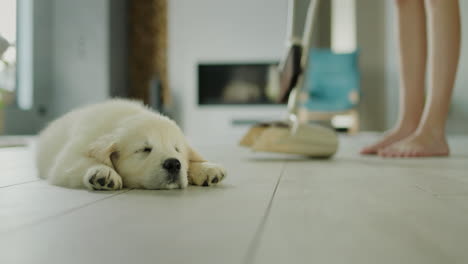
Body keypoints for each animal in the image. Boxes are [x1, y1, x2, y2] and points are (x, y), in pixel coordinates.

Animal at [36, 99, 227, 190]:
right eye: (145, 149)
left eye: (176, 149)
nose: (173, 164)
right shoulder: (70, 155)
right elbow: (80, 162)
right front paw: (103, 172)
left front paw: (207, 169)